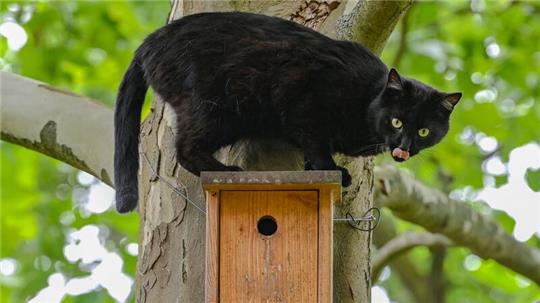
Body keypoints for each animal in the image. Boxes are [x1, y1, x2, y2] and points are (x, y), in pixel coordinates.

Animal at [113, 11, 460, 214]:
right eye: (397, 121)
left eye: (424, 131)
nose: (403, 146)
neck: (366, 100)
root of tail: (148, 43)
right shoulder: (305, 100)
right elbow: (316, 143)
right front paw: (332, 170)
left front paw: (314, 169)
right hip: (217, 109)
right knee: (185, 148)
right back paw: (225, 169)